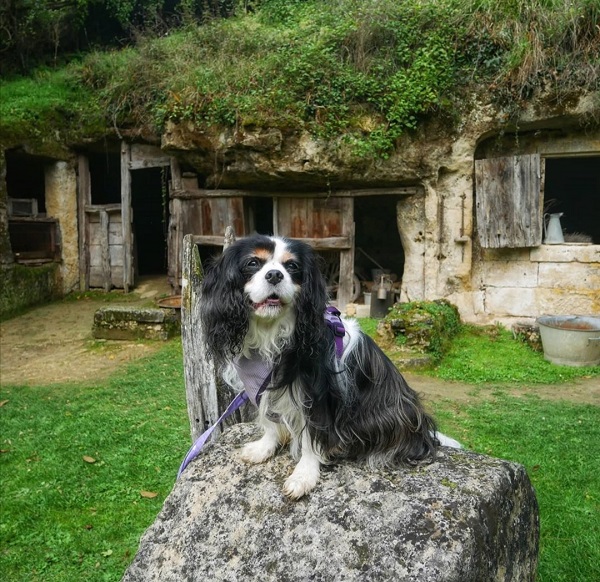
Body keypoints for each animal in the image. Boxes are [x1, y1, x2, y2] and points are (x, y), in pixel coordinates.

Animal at [200, 235, 460, 500]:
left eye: (292, 266)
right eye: (253, 263)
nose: (275, 275)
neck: (271, 331)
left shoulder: (317, 394)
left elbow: (311, 436)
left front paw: (303, 476)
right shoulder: (263, 386)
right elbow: (270, 420)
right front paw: (264, 448)